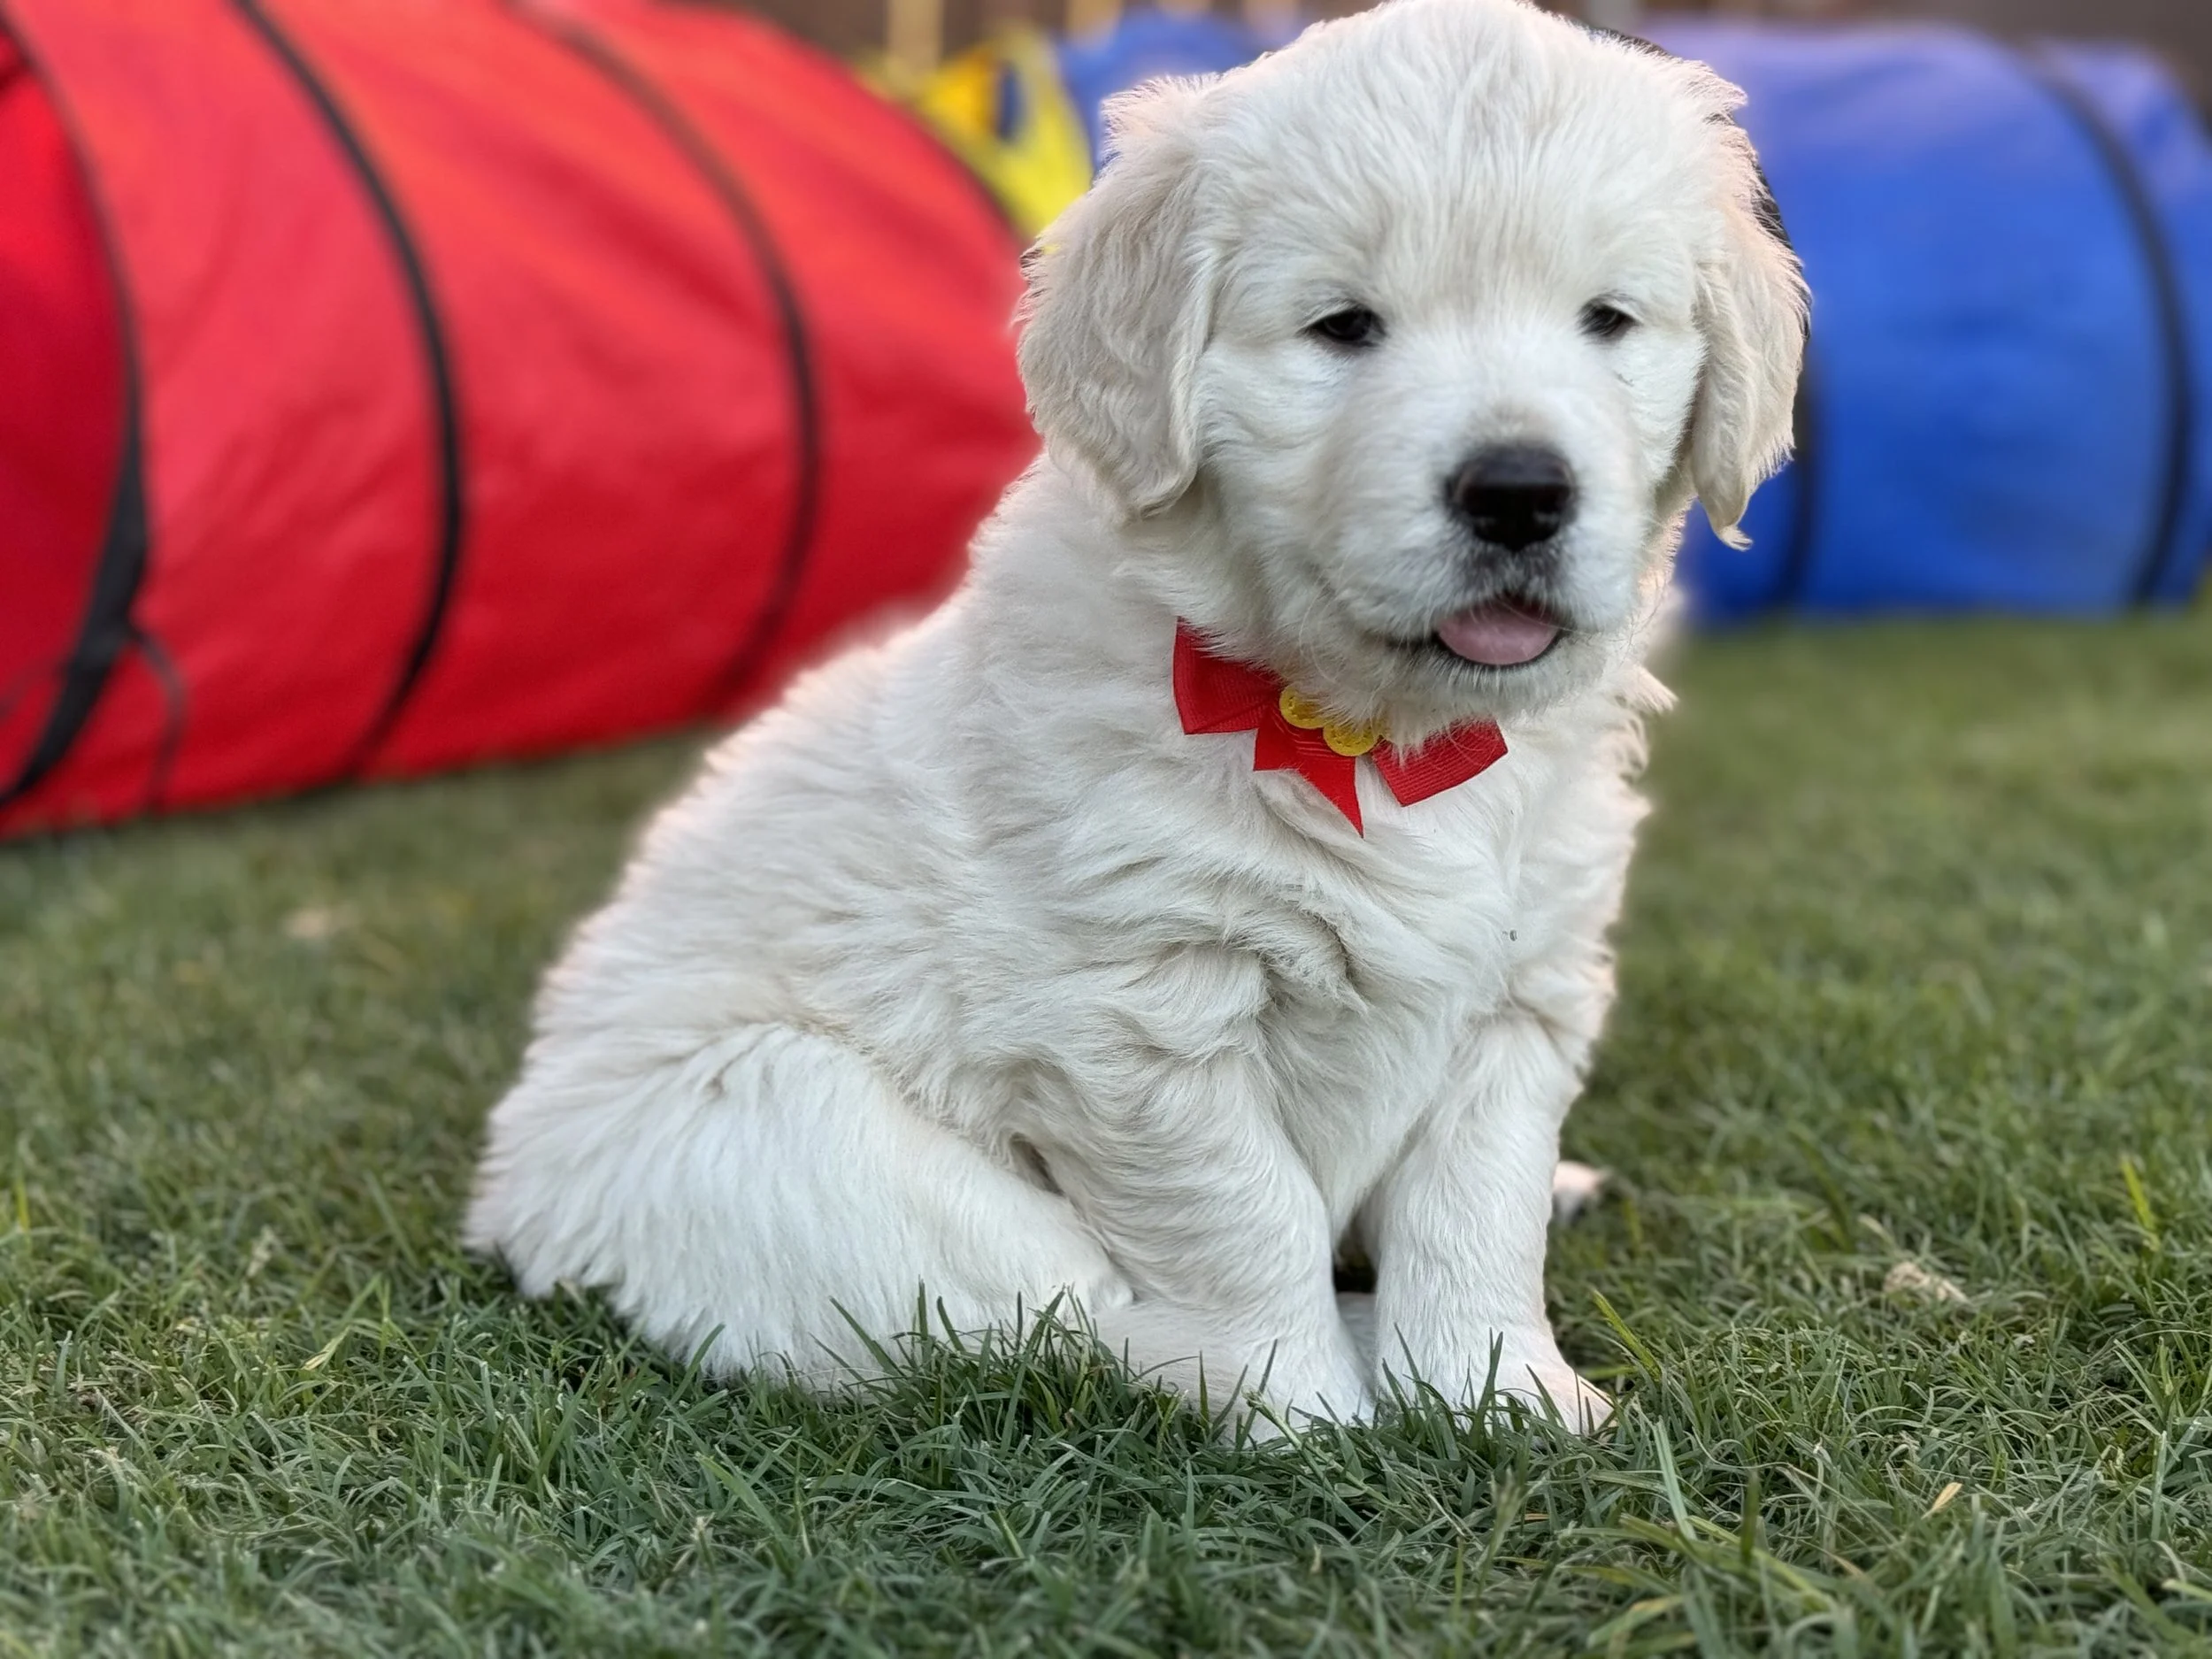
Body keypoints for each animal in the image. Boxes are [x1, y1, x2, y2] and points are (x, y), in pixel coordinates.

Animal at [466, 0, 1805, 1432]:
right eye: (1344, 328)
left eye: (1608, 320)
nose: (1518, 491)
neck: (1369, 735)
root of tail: (514, 1199)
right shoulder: (1140, 1019)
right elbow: (1243, 1218)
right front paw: (1306, 1405)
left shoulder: (1523, 993)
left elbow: (1476, 1210)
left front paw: (1498, 1392)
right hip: (801, 1139)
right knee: (1055, 1320)